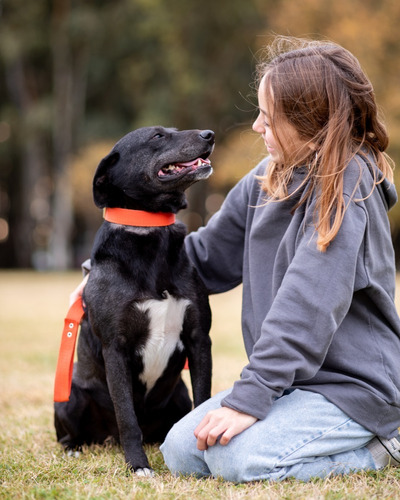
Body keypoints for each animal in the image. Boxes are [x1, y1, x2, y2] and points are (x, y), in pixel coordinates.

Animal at [55, 126, 216, 476]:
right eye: (157, 136)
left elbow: (204, 400)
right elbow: (128, 418)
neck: (148, 230)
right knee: (71, 434)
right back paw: (74, 449)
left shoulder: (198, 338)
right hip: (70, 396)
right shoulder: (116, 347)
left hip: (178, 395)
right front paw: (139, 466)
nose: (209, 135)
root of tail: (107, 440)